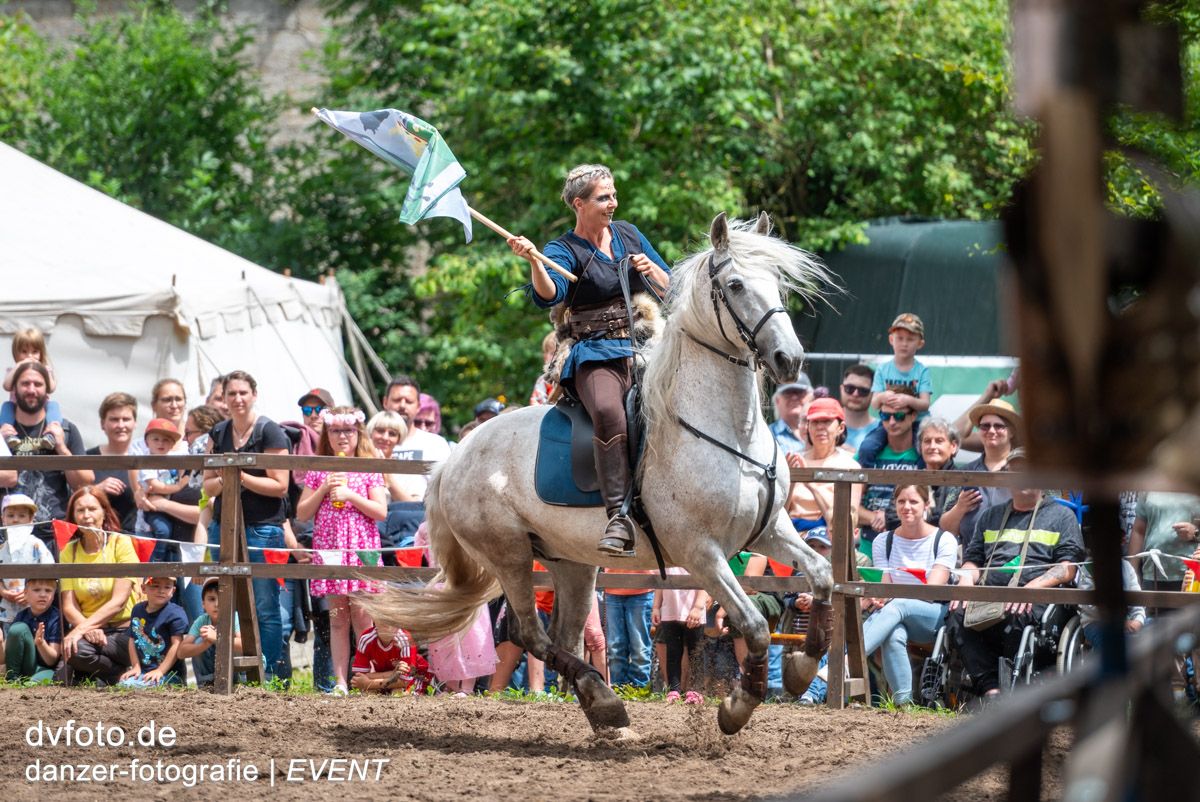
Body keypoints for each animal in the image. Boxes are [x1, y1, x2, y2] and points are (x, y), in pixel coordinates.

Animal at [364, 211, 835, 734]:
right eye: (735, 285)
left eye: (777, 283)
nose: (789, 359)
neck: (727, 433)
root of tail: (453, 457)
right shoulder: (701, 553)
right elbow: (753, 625)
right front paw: (737, 706)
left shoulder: (769, 531)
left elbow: (821, 574)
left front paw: (800, 668)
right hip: (509, 555)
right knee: (531, 635)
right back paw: (607, 703)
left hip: (571, 563)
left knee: (563, 637)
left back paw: (605, 711)